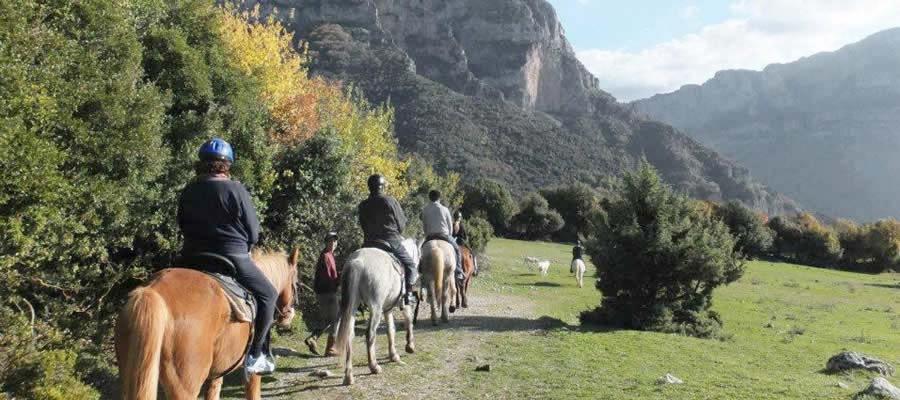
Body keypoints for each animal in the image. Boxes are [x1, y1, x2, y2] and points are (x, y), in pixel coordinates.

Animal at [114, 248, 298, 398]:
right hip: (185, 387)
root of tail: (153, 292)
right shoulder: (253, 374)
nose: (288, 316)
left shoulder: (215, 375)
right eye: (295, 283)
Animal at [334, 239, 418, 386]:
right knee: (370, 334)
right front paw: (409, 346)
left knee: (349, 335)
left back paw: (349, 376)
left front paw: (393, 355)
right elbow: (408, 321)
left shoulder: (388, 309)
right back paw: (374, 367)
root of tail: (357, 261)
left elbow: (391, 330)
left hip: (351, 307)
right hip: (375, 308)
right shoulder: (403, 304)